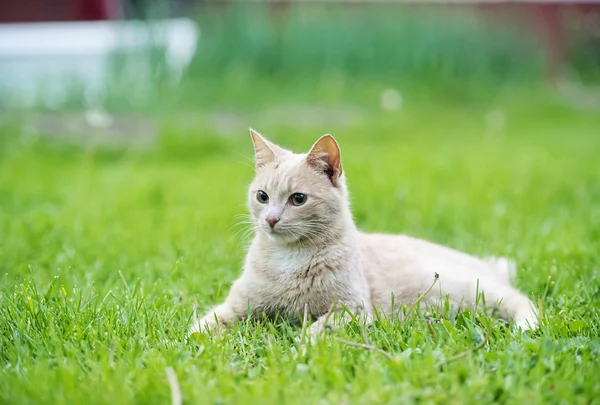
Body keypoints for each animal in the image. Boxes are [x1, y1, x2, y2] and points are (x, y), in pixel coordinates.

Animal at [189, 129, 540, 338]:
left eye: (298, 199)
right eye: (262, 196)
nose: (271, 220)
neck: (289, 258)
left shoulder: (352, 310)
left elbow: (317, 329)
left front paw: (300, 346)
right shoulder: (239, 304)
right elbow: (205, 324)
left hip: (473, 290)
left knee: (521, 300)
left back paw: (527, 326)